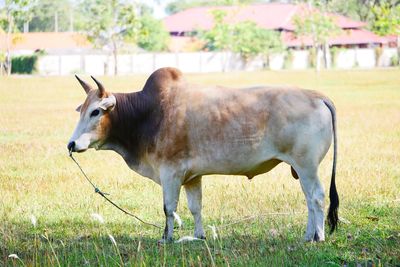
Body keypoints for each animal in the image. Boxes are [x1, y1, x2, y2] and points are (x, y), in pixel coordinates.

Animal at [68, 68, 338, 244]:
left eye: (95, 112)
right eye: (81, 110)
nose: (71, 144)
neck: (149, 113)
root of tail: (317, 96)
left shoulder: (170, 172)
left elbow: (169, 208)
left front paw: (166, 238)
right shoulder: (192, 177)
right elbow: (195, 207)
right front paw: (199, 236)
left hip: (306, 166)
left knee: (316, 196)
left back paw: (319, 237)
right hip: (301, 169)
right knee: (308, 199)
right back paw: (308, 235)